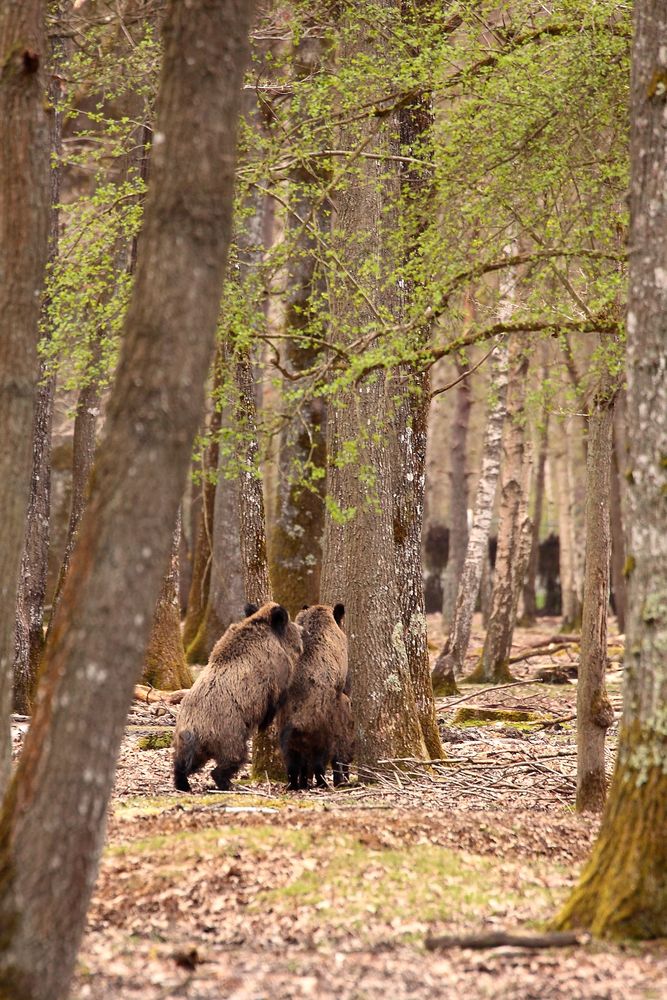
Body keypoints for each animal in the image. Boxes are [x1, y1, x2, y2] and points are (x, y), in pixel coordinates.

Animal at [175, 596, 306, 792]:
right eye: (289, 623)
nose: (303, 631)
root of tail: (193, 732)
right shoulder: (278, 680)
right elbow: (276, 702)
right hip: (233, 743)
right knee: (223, 767)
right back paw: (229, 785)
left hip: (190, 749)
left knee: (181, 766)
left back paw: (184, 787)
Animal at [276, 600, 352, 788]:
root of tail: (298, 724)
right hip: (321, 738)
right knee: (318, 764)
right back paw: (323, 784)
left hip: (286, 740)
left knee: (293, 766)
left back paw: (296, 785)